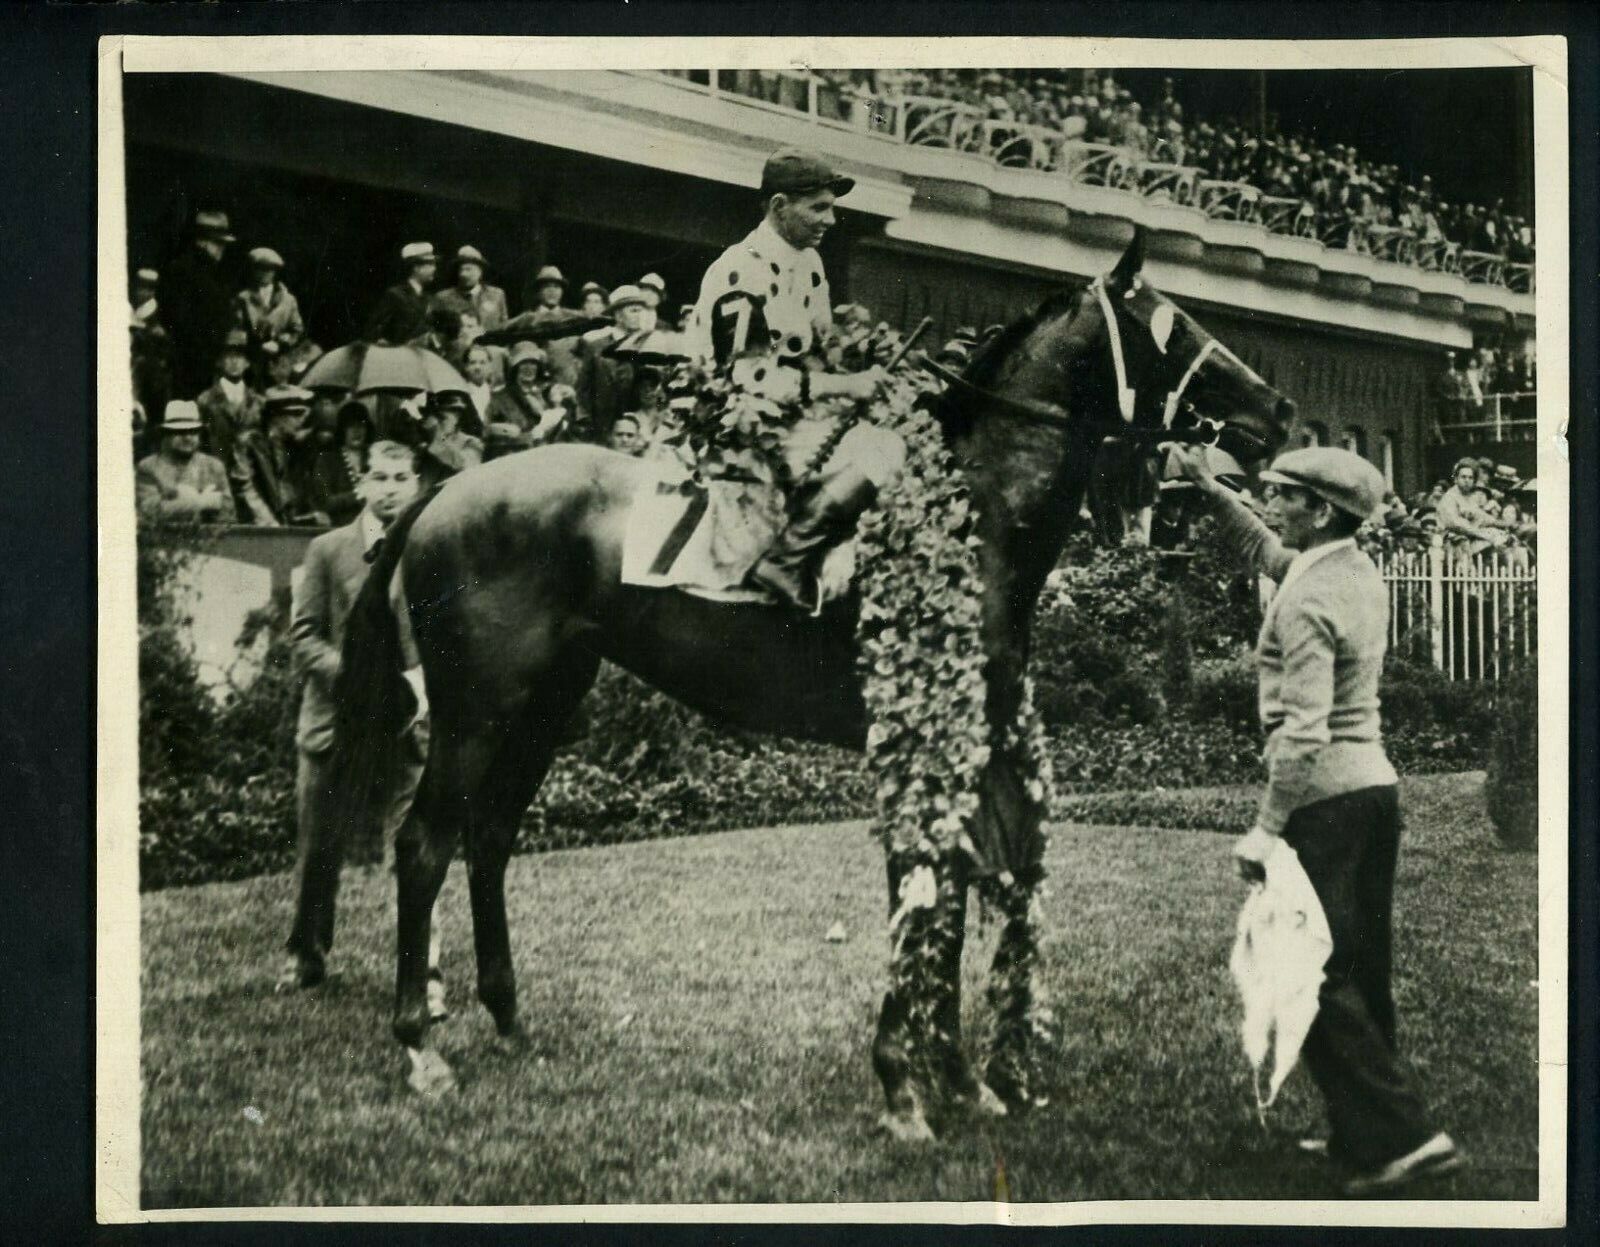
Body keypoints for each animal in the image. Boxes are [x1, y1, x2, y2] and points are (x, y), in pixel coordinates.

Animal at [318, 232, 1292, 1139]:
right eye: (1171, 324)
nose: (1278, 408)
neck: (970, 505)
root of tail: (444, 491)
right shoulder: (918, 732)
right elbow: (922, 882)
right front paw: (905, 1084)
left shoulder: (970, 738)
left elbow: (962, 882)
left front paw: (961, 1075)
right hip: (476, 708)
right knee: (424, 843)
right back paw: (420, 1043)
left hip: (545, 703)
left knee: (487, 839)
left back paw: (508, 1014)